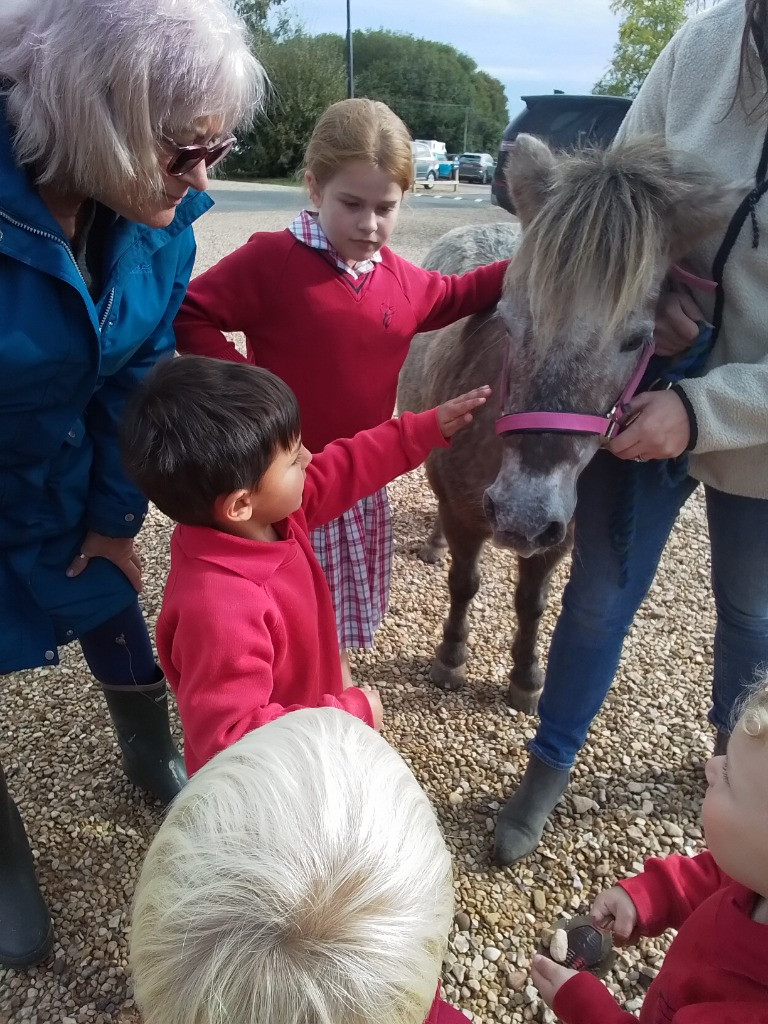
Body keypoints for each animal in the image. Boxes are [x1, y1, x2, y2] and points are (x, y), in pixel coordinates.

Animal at [399, 134, 737, 712]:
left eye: (637, 339)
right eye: (510, 319)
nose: (522, 513)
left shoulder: (558, 533)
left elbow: (531, 602)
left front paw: (526, 675)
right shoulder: (468, 513)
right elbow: (464, 582)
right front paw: (451, 656)